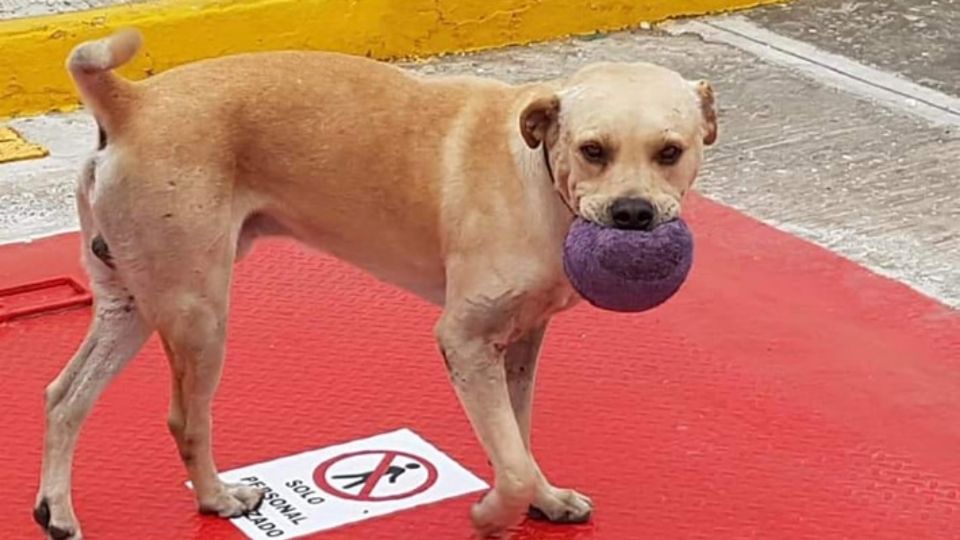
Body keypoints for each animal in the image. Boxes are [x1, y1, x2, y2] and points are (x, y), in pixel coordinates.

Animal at [33, 29, 716, 540]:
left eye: (671, 152)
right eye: (593, 150)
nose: (633, 215)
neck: (539, 174)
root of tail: (131, 103)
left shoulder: (521, 343)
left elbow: (518, 442)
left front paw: (543, 499)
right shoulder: (466, 340)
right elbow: (512, 464)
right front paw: (494, 513)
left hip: (131, 303)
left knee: (66, 396)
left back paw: (57, 511)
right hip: (197, 315)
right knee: (183, 418)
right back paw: (216, 497)